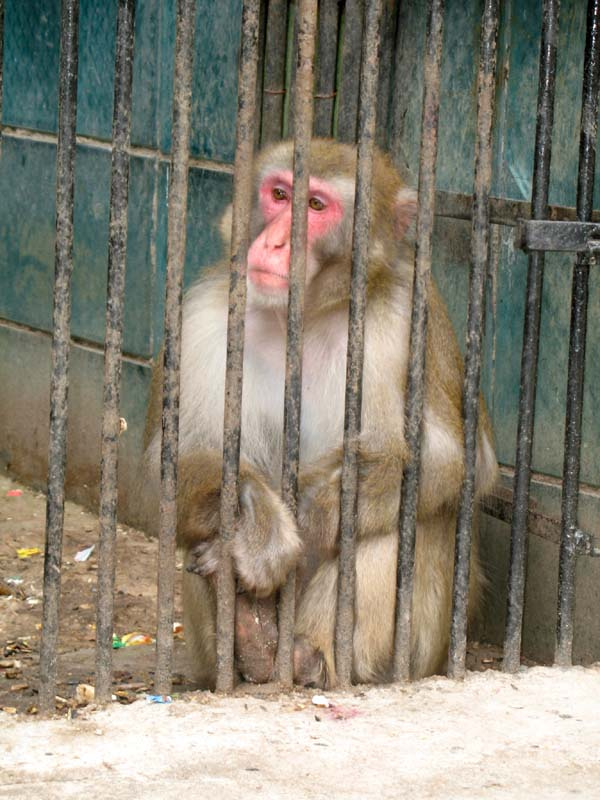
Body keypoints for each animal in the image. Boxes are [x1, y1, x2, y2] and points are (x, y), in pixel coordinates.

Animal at [143, 138, 498, 689]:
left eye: (315, 206)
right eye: (279, 194)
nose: (273, 244)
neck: (304, 316)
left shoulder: (407, 316)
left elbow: (453, 459)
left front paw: (310, 516)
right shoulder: (200, 318)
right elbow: (175, 459)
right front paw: (253, 517)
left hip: (417, 654)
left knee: (399, 518)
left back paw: (306, 656)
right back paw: (251, 645)